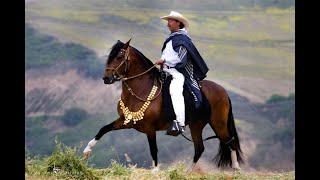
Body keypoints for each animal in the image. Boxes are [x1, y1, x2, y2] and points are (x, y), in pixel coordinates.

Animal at [84, 38, 244, 171]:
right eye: (109, 57)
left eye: (119, 57)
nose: (106, 78)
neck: (142, 89)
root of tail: (223, 91)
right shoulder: (126, 121)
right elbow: (104, 129)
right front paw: (87, 150)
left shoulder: (149, 128)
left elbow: (153, 149)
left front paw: (155, 171)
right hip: (197, 125)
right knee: (199, 148)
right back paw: (187, 172)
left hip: (218, 123)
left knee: (230, 141)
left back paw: (236, 168)